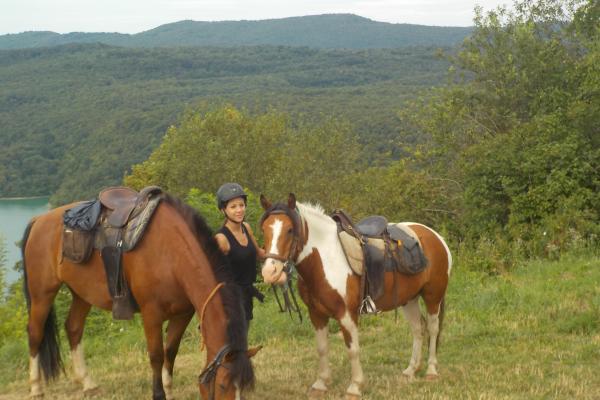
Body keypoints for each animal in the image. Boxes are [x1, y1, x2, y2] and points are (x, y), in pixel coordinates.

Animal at [22, 194, 258, 400]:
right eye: (223, 385)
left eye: (243, 388)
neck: (171, 254)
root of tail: (39, 220)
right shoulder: (151, 314)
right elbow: (156, 355)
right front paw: (159, 394)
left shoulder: (182, 314)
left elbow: (170, 352)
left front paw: (169, 392)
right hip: (42, 293)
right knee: (35, 332)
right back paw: (35, 388)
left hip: (81, 294)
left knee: (73, 328)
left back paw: (87, 383)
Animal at [258, 192, 450, 398]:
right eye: (264, 229)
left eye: (290, 230)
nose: (270, 272)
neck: (324, 260)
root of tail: (436, 237)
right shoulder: (316, 314)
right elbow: (322, 348)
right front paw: (321, 384)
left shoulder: (346, 315)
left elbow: (353, 350)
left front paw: (355, 387)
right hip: (409, 299)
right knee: (417, 329)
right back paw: (410, 370)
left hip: (433, 296)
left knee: (432, 328)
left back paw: (431, 371)